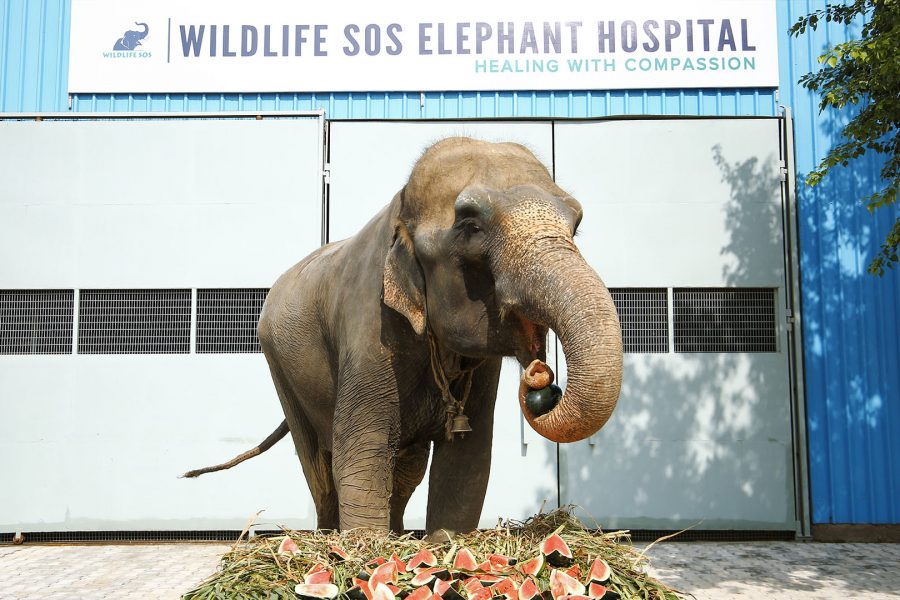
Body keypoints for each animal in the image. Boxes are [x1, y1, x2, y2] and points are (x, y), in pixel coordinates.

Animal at [183, 137, 623, 536]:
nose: (539, 376)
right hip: (280, 366)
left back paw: (395, 534)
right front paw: (364, 551)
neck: (401, 207)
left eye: (576, 226)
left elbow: (467, 459)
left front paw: (443, 547)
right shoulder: (368, 323)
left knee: (407, 467)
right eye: (471, 226)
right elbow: (362, 450)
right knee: (318, 466)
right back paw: (328, 537)